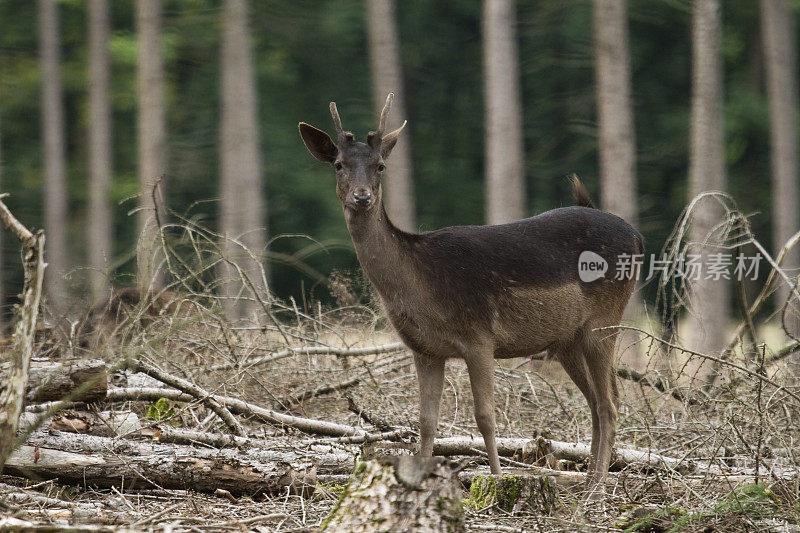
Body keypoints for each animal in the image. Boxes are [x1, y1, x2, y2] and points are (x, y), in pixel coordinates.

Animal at [300, 93, 644, 492]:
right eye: (338, 164)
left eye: (381, 166)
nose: (362, 196)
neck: (419, 286)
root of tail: (637, 236)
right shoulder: (424, 350)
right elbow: (426, 421)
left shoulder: (479, 336)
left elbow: (485, 417)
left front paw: (496, 480)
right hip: (567, 340)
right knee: (599, 400)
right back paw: (587, 479)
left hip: (604, 319)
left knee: (609, 402)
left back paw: (598, 486)